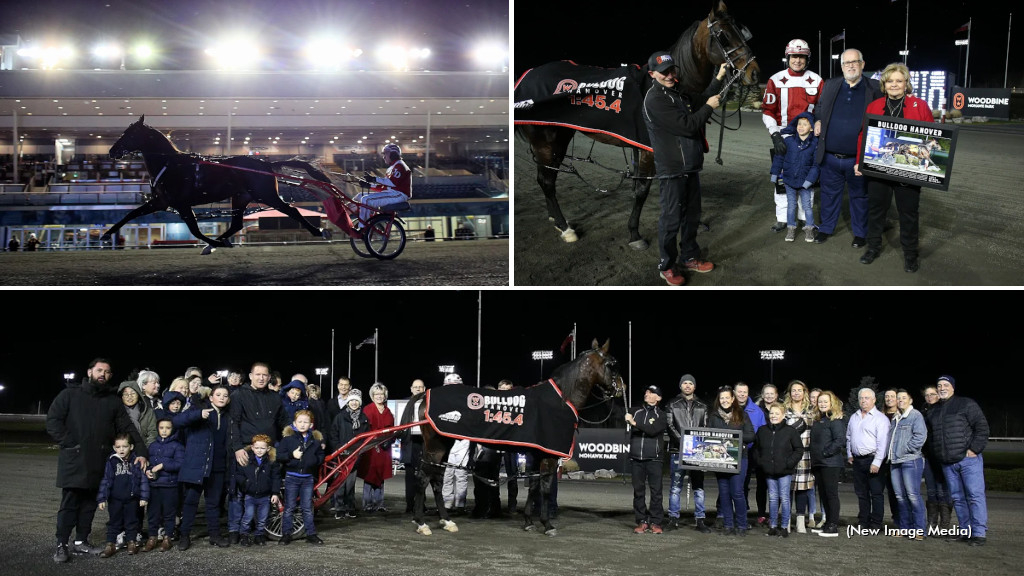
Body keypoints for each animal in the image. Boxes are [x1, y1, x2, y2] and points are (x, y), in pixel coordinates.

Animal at [102, 114, 331, 253]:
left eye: (129, 133)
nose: (112, 151)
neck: (171, 165)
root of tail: (266, 163)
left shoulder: (181, 204)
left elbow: (195, 230)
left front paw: (211, 243)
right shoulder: (160, 202)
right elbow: (130, 214)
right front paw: (106, 234)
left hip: (266, 195)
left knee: (292, 211)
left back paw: (318, 231)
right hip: (241, 197)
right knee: (237, 223)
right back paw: (220, 240)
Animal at [407, 336, 622, 532]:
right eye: (612, 364)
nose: (621, 387)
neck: (561, 399)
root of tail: (425, 395)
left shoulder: (537, 453)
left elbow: (534, 486)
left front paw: (528, 521)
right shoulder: (549, 456)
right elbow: (545, 488)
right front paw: (547, 524)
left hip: (445, 445)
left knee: (436, 480)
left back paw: (446, 520)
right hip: (435, 447)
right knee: (423, 479)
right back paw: (421, 522)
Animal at [512, 0, 761, 243]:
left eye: (741, 31)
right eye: (723, 35)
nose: (755, 72)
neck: (672, 89)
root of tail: (528, 76)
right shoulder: (649, 148)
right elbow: (642, 189)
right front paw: (634, 232)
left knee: (546, 177)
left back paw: (555, 220)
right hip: (547, 141)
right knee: (547, 181)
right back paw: (565, 228)